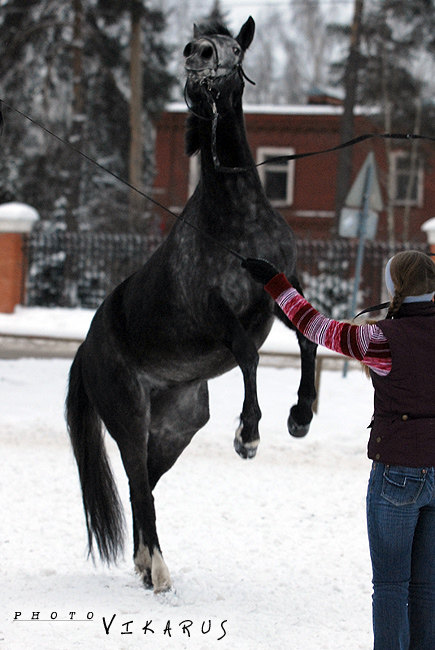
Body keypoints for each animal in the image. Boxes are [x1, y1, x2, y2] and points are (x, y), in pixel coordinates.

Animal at [66, 16, 316, 592]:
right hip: (129, 418)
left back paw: (144, 564)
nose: (196, 54)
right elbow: (248, 353)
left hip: (176, 429)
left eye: (234, 47)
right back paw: (158, 570)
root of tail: (88, 347)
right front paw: (249, 434)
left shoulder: (278, 291)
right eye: (204, 41)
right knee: (138, 486)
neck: (238, 221)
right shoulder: (215, 313)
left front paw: (300, 415)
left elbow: (306, 341)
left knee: (143, 487)